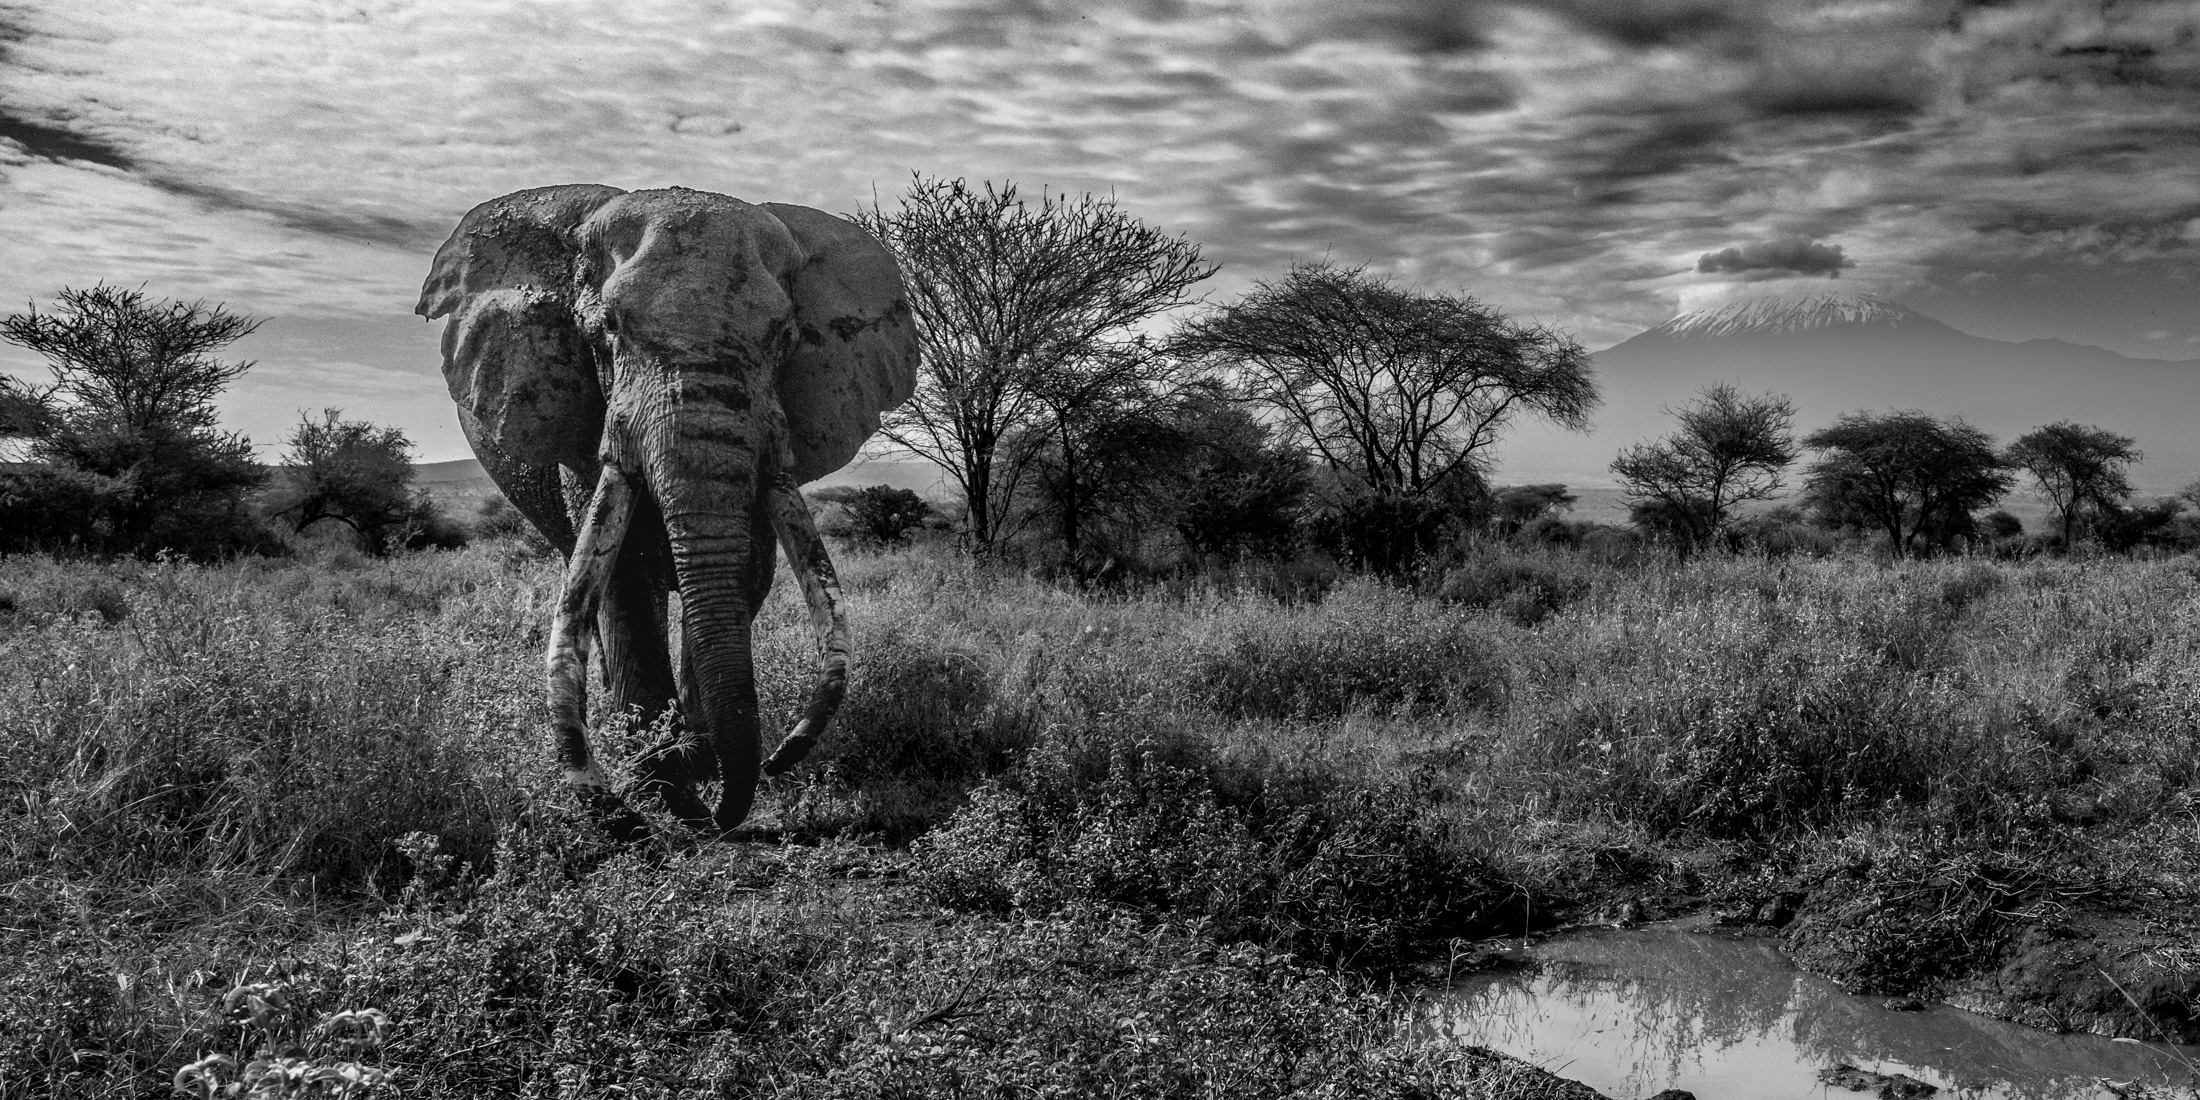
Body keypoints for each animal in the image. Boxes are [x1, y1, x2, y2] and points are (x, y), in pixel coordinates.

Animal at [416, 184, 918, 834]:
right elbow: (627, 574)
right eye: (605, 331)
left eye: (785, 338)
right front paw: (666, 786)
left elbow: (743, 572)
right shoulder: (586, 424)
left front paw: (695, 768)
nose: (773, 765)